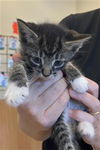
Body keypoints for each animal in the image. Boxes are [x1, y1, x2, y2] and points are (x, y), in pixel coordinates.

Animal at [4, 19, 94, 150]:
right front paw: (16, 91)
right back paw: (85, 128)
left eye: (57, 62)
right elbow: (17, 66)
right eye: (37, 59)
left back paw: (87, 127)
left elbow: (68, 63)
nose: (46, 74)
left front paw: (79, 81)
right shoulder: (22, 58)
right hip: (58, 120)